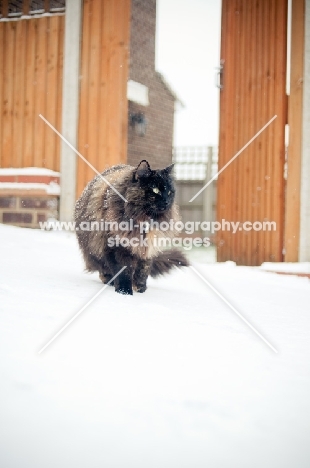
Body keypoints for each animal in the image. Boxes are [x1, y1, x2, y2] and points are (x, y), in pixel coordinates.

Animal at [75, 159, 189, 294]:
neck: (143, 220)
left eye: (170, 192)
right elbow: (123, 271)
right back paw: (110, 281)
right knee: (102, 268)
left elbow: (142, 271)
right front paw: (124, 291)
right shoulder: (116, 247)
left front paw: (140, 289)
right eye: (155, 190)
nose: (166, 201)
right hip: (93, 249)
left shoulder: (147, 249)